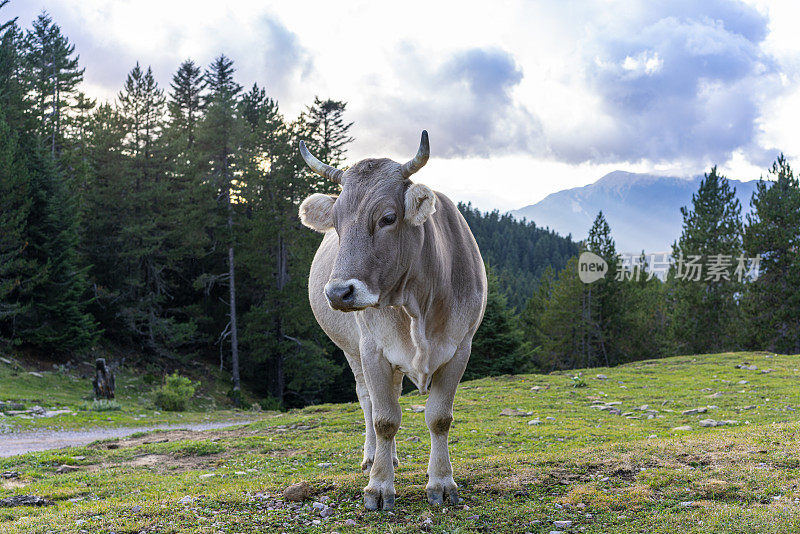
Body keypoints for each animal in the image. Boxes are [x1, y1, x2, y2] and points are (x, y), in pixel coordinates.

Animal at [298, 132, 488, 512]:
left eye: (387, 218)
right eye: (336, 223)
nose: (338, 293)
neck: (418, 305)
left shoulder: (460, 347)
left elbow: (439, 418)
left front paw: (441, 482)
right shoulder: (373, 349)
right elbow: (385, 419)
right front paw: (378, 486)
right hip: (353, 350)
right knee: (368, 400)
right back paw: (374, 458)